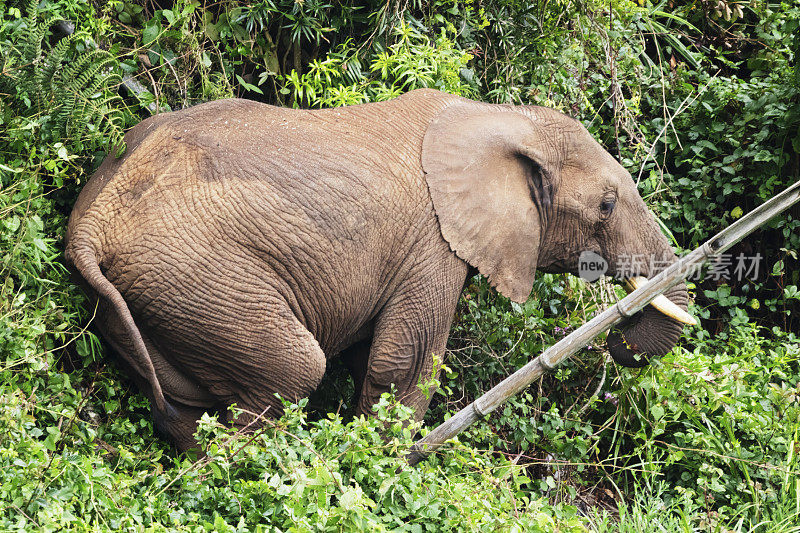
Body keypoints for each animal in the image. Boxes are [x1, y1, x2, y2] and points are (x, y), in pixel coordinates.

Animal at [65, 88, 692, 448]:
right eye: (606, 205)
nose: (619, 338)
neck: (501, 119)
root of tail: (92, 222)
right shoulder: (434, 244)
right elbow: (402, 364)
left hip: (155, 297)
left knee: (186, 409)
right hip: (200, 279)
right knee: (292, 374)